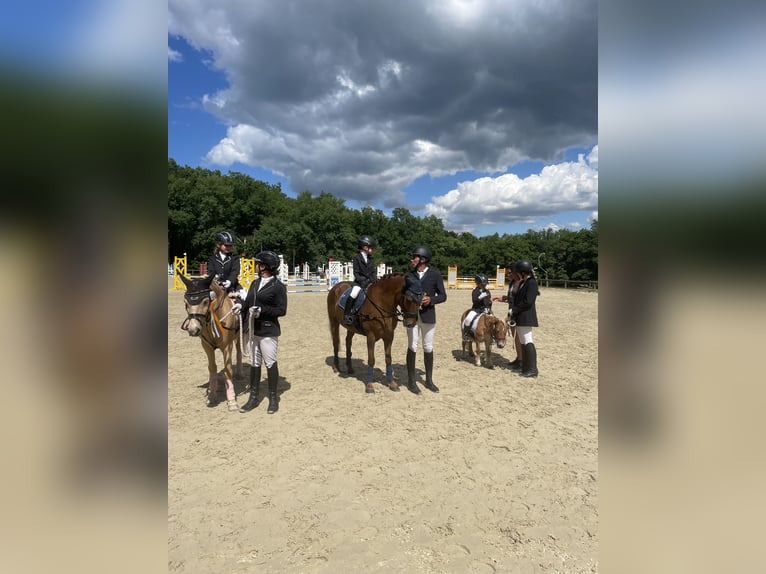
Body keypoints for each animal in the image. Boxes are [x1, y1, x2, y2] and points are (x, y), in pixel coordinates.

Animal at [180, 274, 243, 412]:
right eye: (186, 303)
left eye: (205, 301)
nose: (193, 330)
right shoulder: (207, 346)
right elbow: (212, 368)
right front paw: (212, 395)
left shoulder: (227, 347)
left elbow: (227, 371)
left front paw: (232, 401)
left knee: (239, 351)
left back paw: (239, 374)